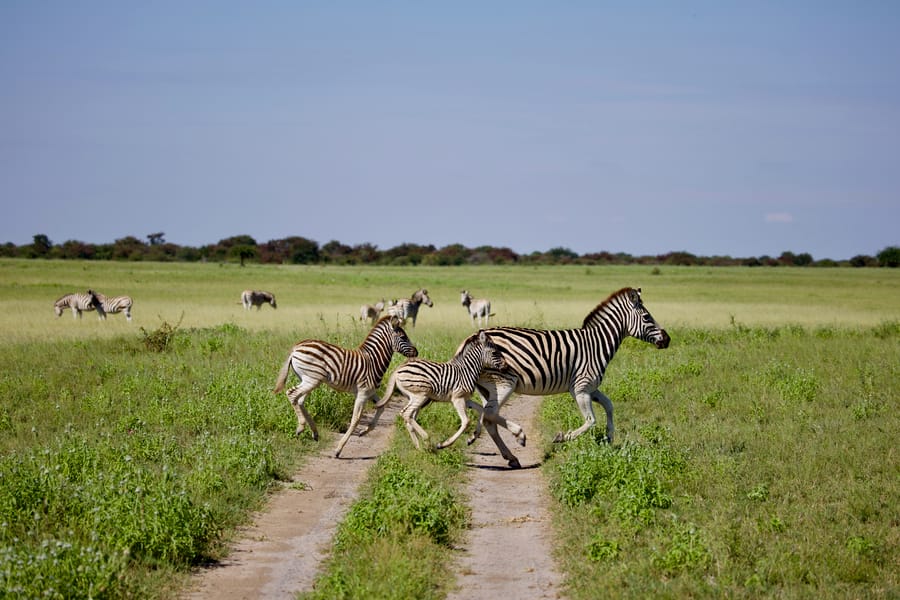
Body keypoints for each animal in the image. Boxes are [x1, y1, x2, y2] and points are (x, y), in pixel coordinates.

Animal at [273, 315, 418, 458]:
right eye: (403, 337)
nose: (416, 352)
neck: (373, 361)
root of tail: (296, 348)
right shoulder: (363, 392)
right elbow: (356, 419)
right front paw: (339, 449)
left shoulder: (369, 392)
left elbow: (381, 407)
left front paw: (365, 431)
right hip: (312, 379)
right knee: (292, 394)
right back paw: (301, 427)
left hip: (309, 379)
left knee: (300, 400)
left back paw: (315, 432)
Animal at [375, 330, 507, 451]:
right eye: (495, 352)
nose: (506, 367)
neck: (467, 371)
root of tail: (399, 368)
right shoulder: (457, 398)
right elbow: (466, 422)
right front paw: (444, 444)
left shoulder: (465, 399)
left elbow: (482, 410)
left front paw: (473, 438)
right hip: (421, 395)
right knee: (407, 414)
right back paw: (426, 438)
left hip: (414, 397)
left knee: (407, 415)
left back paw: (419, 447)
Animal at [470, 287, 670, 468]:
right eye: (647, 317)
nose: (667, 339)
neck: (596, 344)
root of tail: (473, 337)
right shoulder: (580, 388)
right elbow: (591, 421)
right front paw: (562, 437)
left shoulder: (591, 388)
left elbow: (609, 405)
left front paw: (609, 436)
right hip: (504, 384)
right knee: (489, 416)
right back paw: (517, 437)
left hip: (488, 388)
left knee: (489, 419)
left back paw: (510, 456)